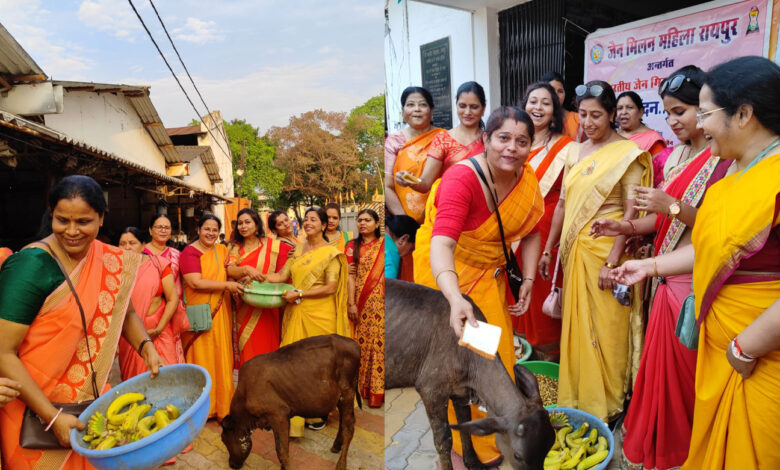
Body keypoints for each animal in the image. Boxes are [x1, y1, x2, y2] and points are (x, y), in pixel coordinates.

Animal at [221, 334, 362, 470]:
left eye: (224, 439)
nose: (231, 464)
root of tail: (354, 343)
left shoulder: (278, 415)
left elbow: (281, 450)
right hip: (341, 398)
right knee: (343, 422)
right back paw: (336, 446)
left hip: (347, 392)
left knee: (349, 427)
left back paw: (341, 465)